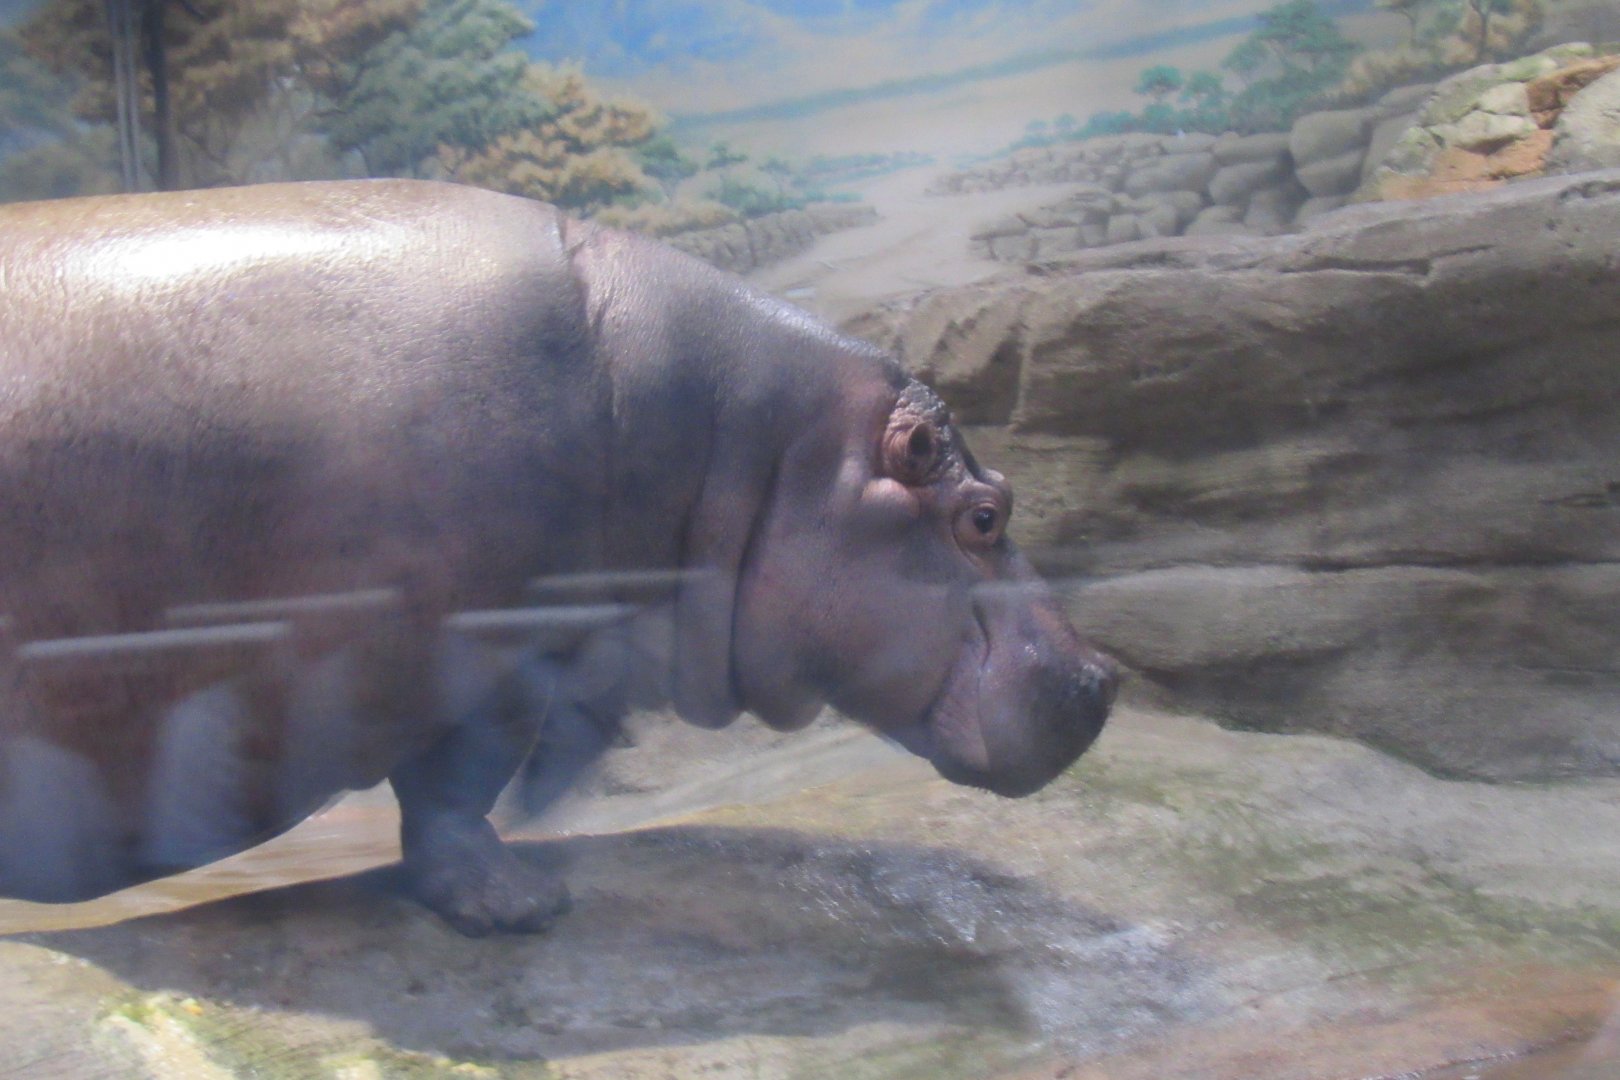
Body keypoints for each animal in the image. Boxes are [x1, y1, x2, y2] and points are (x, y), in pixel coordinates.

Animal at [0, 180, 1115, 935]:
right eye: (984, 514)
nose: (1104, 674)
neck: (754, 442)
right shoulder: (491, 648)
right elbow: (456, 791)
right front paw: (524, 905)